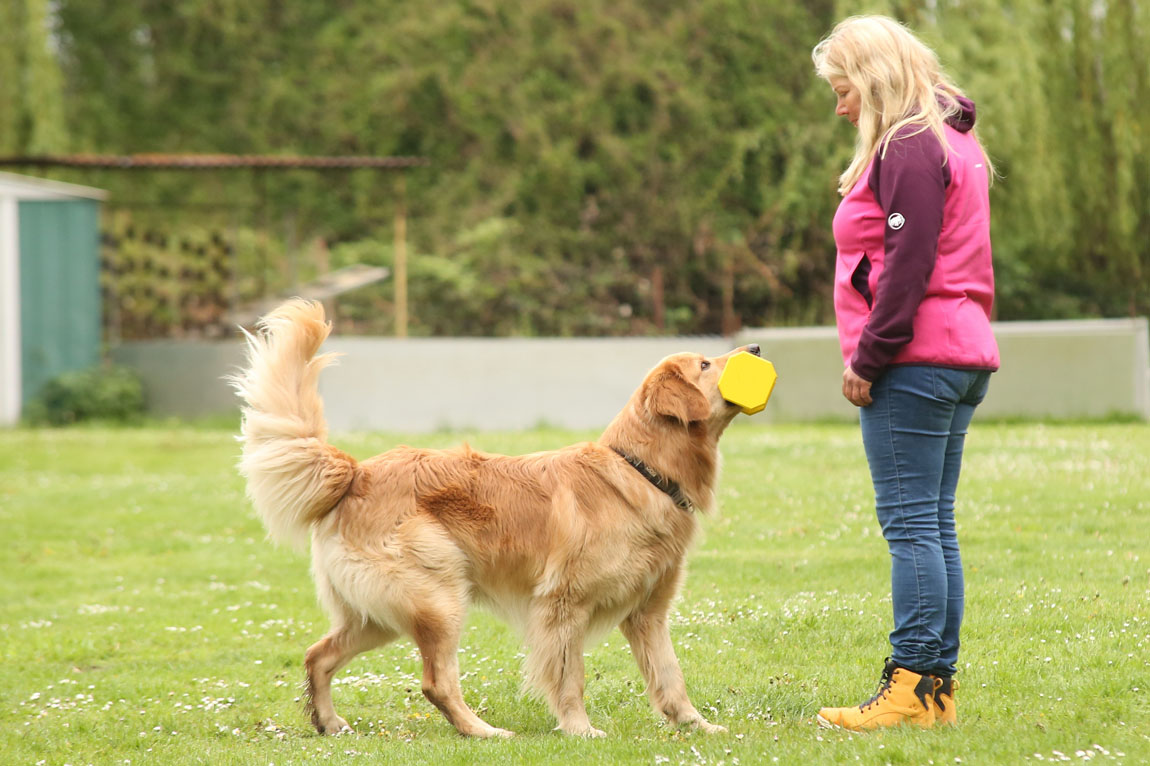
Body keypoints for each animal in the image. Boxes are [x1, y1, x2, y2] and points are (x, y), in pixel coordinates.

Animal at [231, 299, 754, 736]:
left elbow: (670, 675)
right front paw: (579, 730)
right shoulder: (563, 606)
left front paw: (697, 726)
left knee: (317, 655)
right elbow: (571, 678)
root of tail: (356, 473)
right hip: (440, 598)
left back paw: (330, 722)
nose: (756, 347)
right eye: (704, 364)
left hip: (379, 614)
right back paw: (483, 732)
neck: (641, 471)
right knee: (436, 683)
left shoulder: (649, 612)